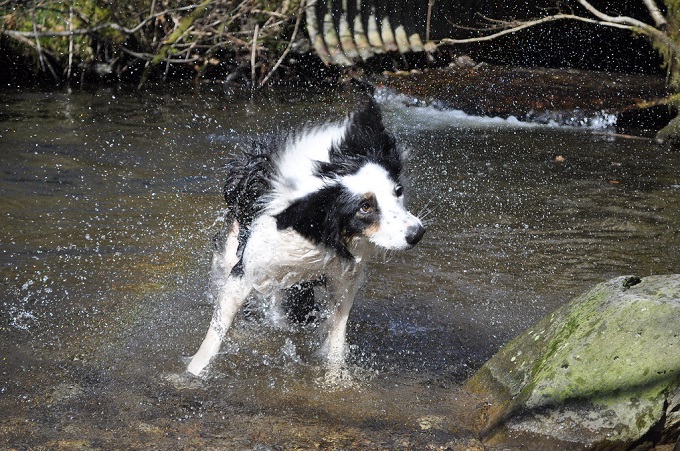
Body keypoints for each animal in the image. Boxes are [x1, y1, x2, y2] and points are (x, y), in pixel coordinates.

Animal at [186, 99, 424, 378]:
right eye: (365, 207)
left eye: (398, 191)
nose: (417, 233)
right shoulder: (249, 265)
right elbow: (217, 329)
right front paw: (192, 373)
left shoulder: (343, 276)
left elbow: (337, 334)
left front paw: (335, 377)